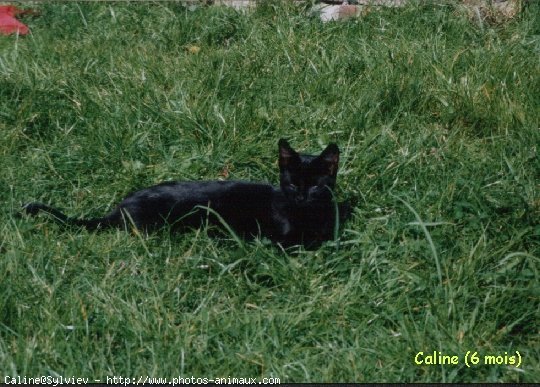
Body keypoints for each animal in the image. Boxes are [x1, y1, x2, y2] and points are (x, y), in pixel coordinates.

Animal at [23, 140, 350, 249]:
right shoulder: (283, 241)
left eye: (317, 186)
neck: (309, 215)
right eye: (292, 185)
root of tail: (119, 208)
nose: (302, 197)